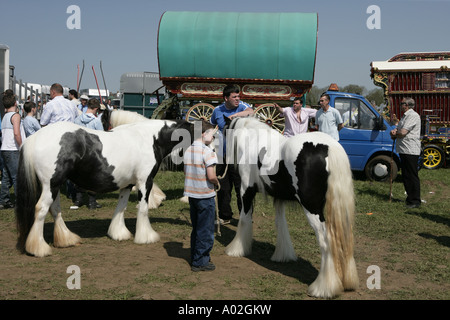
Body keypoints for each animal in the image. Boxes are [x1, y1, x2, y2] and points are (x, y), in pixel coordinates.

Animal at [16, 117, 207, 258]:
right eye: (201, 131)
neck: (150, 138)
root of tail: (34, 138)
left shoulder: (127, 185)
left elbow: (121, 208)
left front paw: (118, 233)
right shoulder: (145, 182)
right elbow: (143, 209)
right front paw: (146, 236)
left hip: (54, 186)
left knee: (55, 210)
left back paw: (66, 239)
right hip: (51, 185)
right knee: (41, 209)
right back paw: (39, 249)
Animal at [224, 116, 358, 298]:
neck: (253, 140)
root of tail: (330, 148)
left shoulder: (246, 190)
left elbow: (244, 220)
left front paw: (236, 249)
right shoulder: (279, 198)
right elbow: (281, 225)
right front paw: (283, 255)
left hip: (312, 210)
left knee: (326, 241)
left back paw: (323, 288)